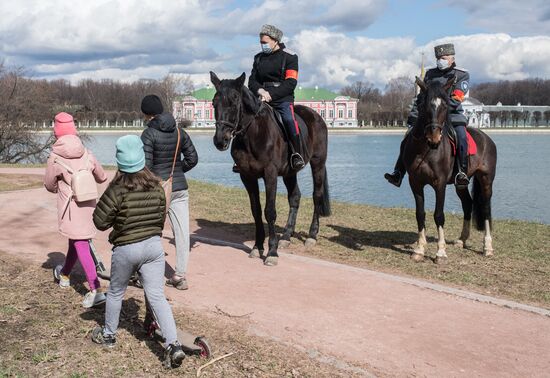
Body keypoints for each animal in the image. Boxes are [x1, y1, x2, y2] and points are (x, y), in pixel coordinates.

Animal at [210, 71, 332, 266]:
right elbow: (256, 211)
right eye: (214, 102)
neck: (253, 133)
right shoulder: (247, 176)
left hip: (317, 164)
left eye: (235, 101)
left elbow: (270, 211)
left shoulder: (270, 174)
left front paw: (272, 252)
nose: (220, 140)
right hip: (290, 173)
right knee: (295, 197)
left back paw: (312, 235)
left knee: (317, 196)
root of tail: (316, 115)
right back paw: (287, 236)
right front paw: (257, 246)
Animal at [406, 75, 500, 262]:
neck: (425, 150)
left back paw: (487, 247)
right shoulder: (416, 183)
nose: (434, 138)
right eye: (423, 105)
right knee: (468, 204)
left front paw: (440, 252)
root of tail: (486, 138)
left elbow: (438, 215)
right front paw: (419, 249)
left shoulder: (440, 184)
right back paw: (462, 239)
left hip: (486, 180)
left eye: (445, 106)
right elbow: (420, 214)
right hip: (461, 184)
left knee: (486, 208)